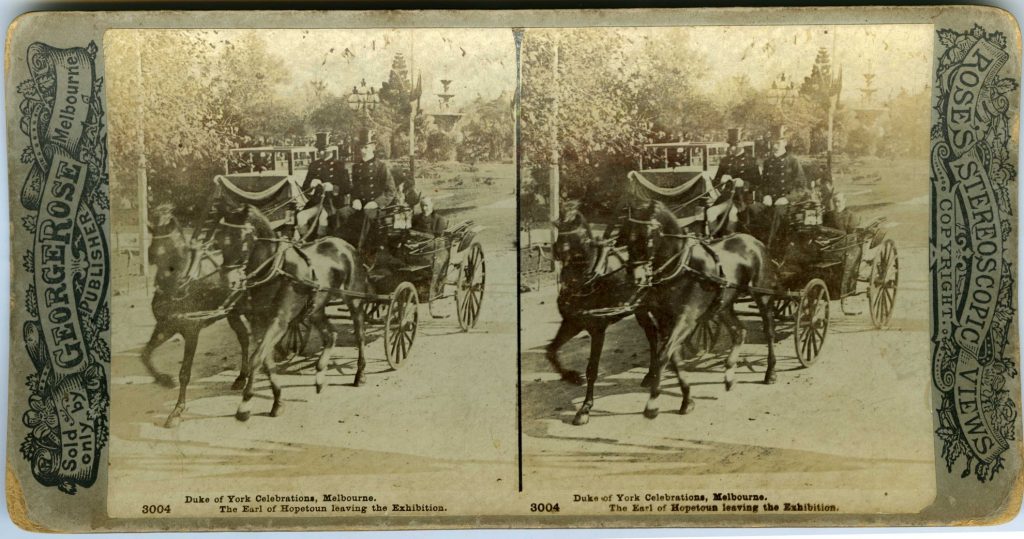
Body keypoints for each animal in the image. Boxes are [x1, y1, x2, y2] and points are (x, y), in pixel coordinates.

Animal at [143, 204, 250, 428]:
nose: (171, 292)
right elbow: (145, 354)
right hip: (232, 313)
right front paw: (163, 379)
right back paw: (241, 377)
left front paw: (177, 411)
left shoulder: (192, 331)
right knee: (244, 338)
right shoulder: (165, 327)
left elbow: (185, 373)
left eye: (173, 254)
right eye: (153, 253)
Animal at [216, 203, 372, 422]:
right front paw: (278, 400)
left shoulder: (279, 322)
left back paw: (360, 374)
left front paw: (245, 404)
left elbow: (256, 359)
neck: (276, 270)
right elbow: (266, 361)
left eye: (244, 240)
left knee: (360, 335)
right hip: (315, 308)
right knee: (331, 334)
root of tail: (344, 244)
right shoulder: (258, 322)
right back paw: (320, 376)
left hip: (355, 300)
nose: (228, 281)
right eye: (220, 240)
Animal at [548, 205, 659, 426]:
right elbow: (551, 351)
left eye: (581, 235)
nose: (557, 251)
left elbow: (592, 369)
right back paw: (650, 375)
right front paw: (571, 376)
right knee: (652, 334)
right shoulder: (572, 322)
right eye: (559, 233)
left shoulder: (597, 329)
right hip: (640, 309)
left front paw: (585, 408)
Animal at [618, 200, 778, 420]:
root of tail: (753, 240)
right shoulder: (666, 320)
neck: (681, 267)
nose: (635, 278)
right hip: (722, 305)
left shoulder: (686, 319)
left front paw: (652, 403)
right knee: (739, 331)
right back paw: (729, 375)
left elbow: (663, 356)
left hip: (762, 296)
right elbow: (673, 358)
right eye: (626, 235)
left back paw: (770, 372)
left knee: (769, 331)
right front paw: (687, 399)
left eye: (648, 235)